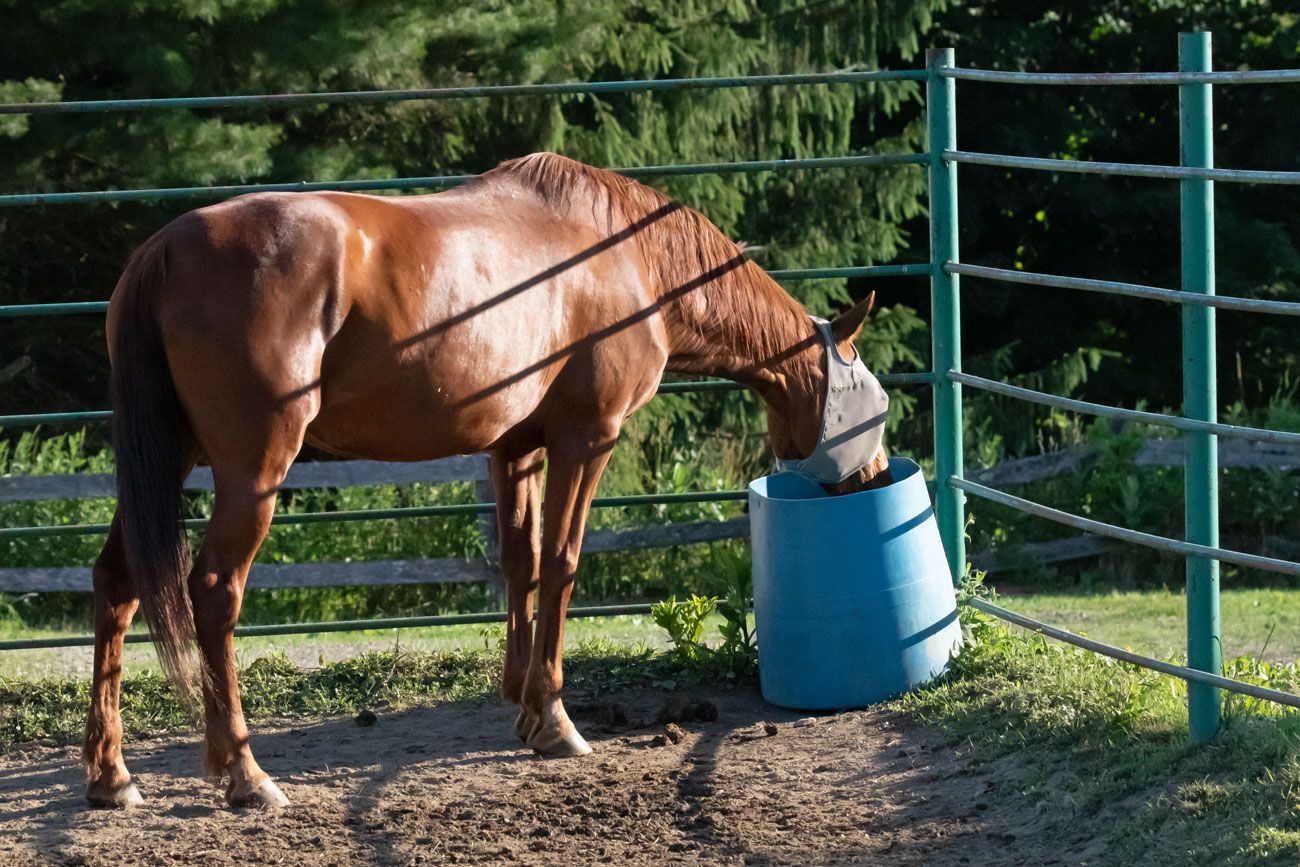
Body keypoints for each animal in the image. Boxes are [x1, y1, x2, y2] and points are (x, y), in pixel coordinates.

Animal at [83, 152, 893, 809]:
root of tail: (163, 250)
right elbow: (562, 563)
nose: (874, 479)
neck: (629, 256)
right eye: (872, 398)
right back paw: (245, 774)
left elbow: (520, 562)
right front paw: (558, 720)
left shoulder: (516, 449)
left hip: (167, 461)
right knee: (214, 592)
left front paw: (521, 703)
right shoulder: (586, 440)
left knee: (117, 584)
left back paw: (111, 776)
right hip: (252, 472)